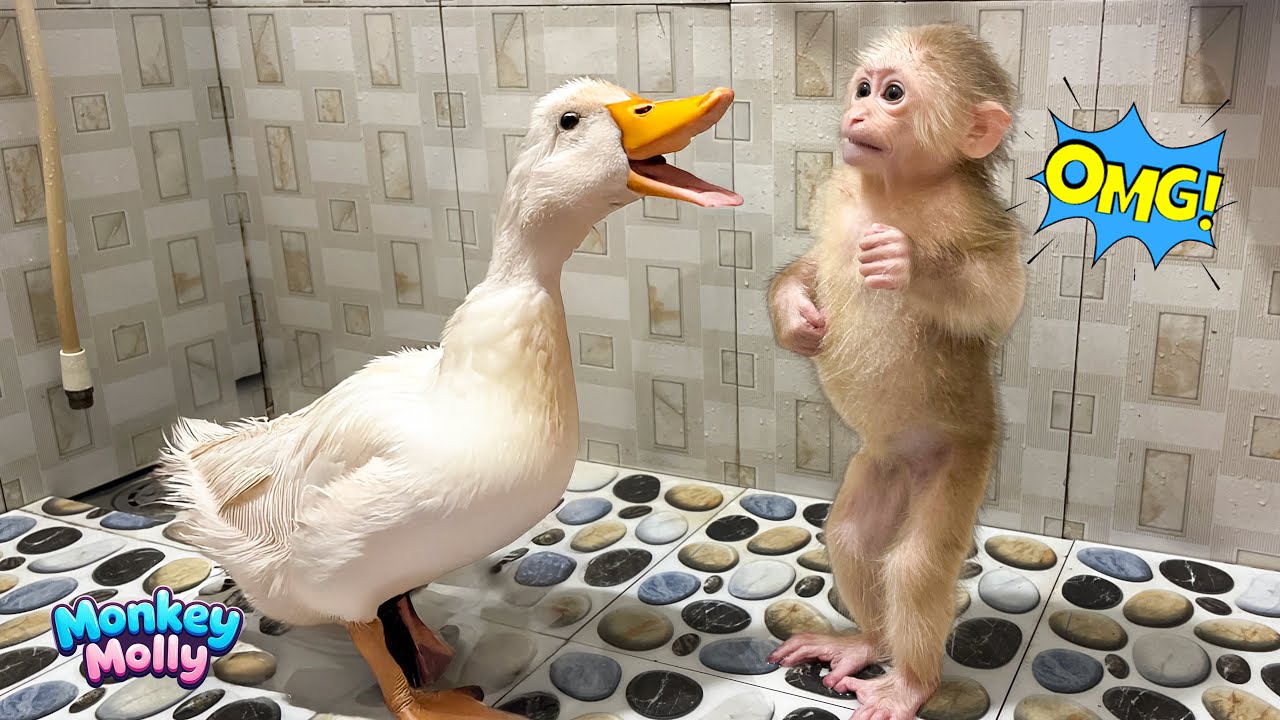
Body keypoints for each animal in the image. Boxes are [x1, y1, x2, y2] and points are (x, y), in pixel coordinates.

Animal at [764, 25, 1026, 720]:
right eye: (862, 87)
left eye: (893, 94)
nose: (857, 114)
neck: (892, 190)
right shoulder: (836, 192)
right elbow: (808, 268)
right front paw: (797, 316)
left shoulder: (970, 213)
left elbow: (999, 296)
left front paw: (906, 263)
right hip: (882, 466)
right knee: (852, 537)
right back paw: (867, 642)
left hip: (959, 462)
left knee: (912, 565)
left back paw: (910, 682)